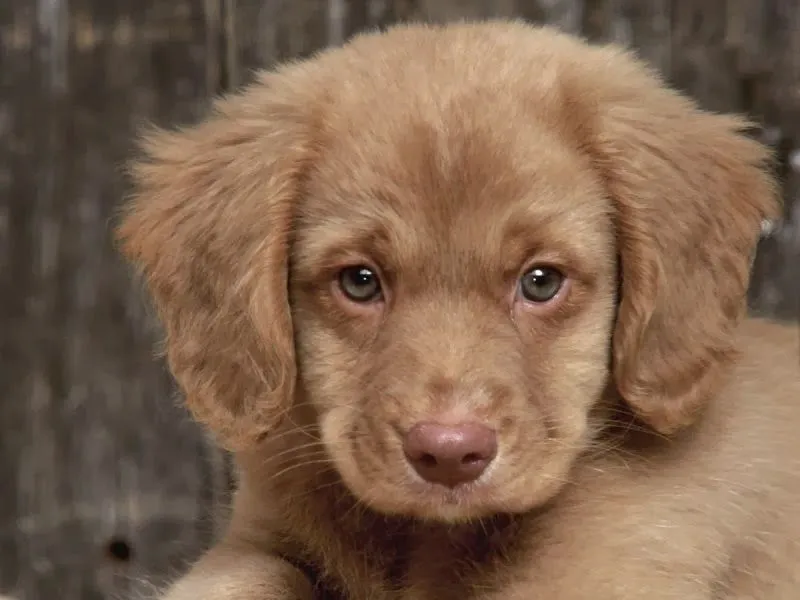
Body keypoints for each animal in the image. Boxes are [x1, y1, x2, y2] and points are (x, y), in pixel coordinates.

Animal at [117, 18, 800, 600]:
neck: (426, 537)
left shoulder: (612, 565)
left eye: (541, 282)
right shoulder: (257, 539)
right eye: (359, 282)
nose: (448, 454)